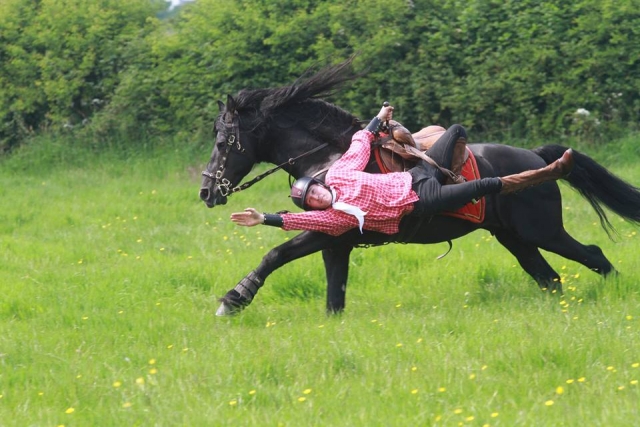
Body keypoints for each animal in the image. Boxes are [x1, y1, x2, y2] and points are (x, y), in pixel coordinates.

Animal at [199, 60, 640, 316]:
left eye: (222, 141)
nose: (207, 192)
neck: (329, 157)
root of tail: (536, 157)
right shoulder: (335, 241)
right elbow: (333, 296)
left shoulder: (330, 231)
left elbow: (275, 254)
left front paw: (234, 299)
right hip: (515, 239)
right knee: (550, 279)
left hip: (541, 231)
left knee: (593, 256)